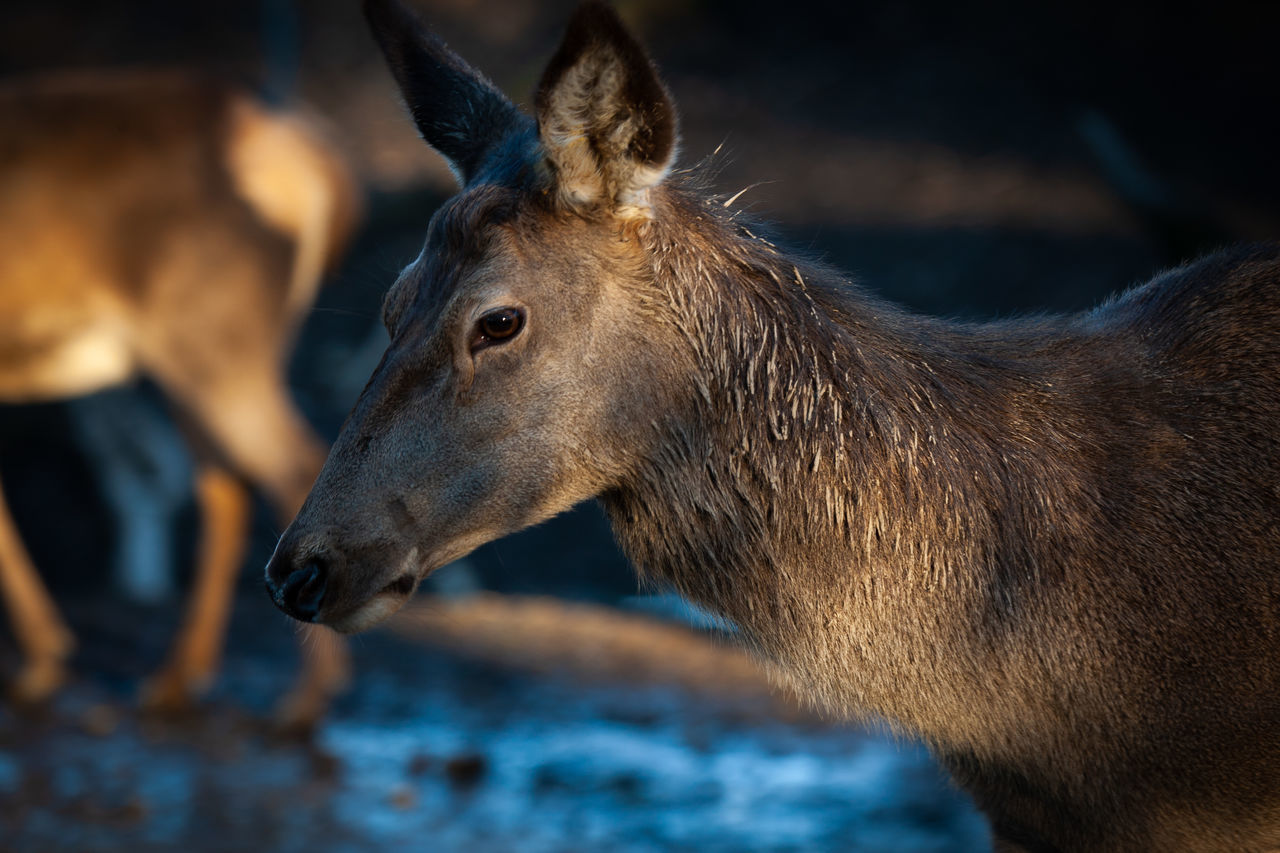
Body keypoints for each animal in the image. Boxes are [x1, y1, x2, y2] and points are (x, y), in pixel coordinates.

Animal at [3, 69, 360, 727]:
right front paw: (44, 659)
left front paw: (41, 662)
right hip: (195, 359)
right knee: (224, 484)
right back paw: (177, 679)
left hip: (216, 341)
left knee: (292, 465)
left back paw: (304, 699)